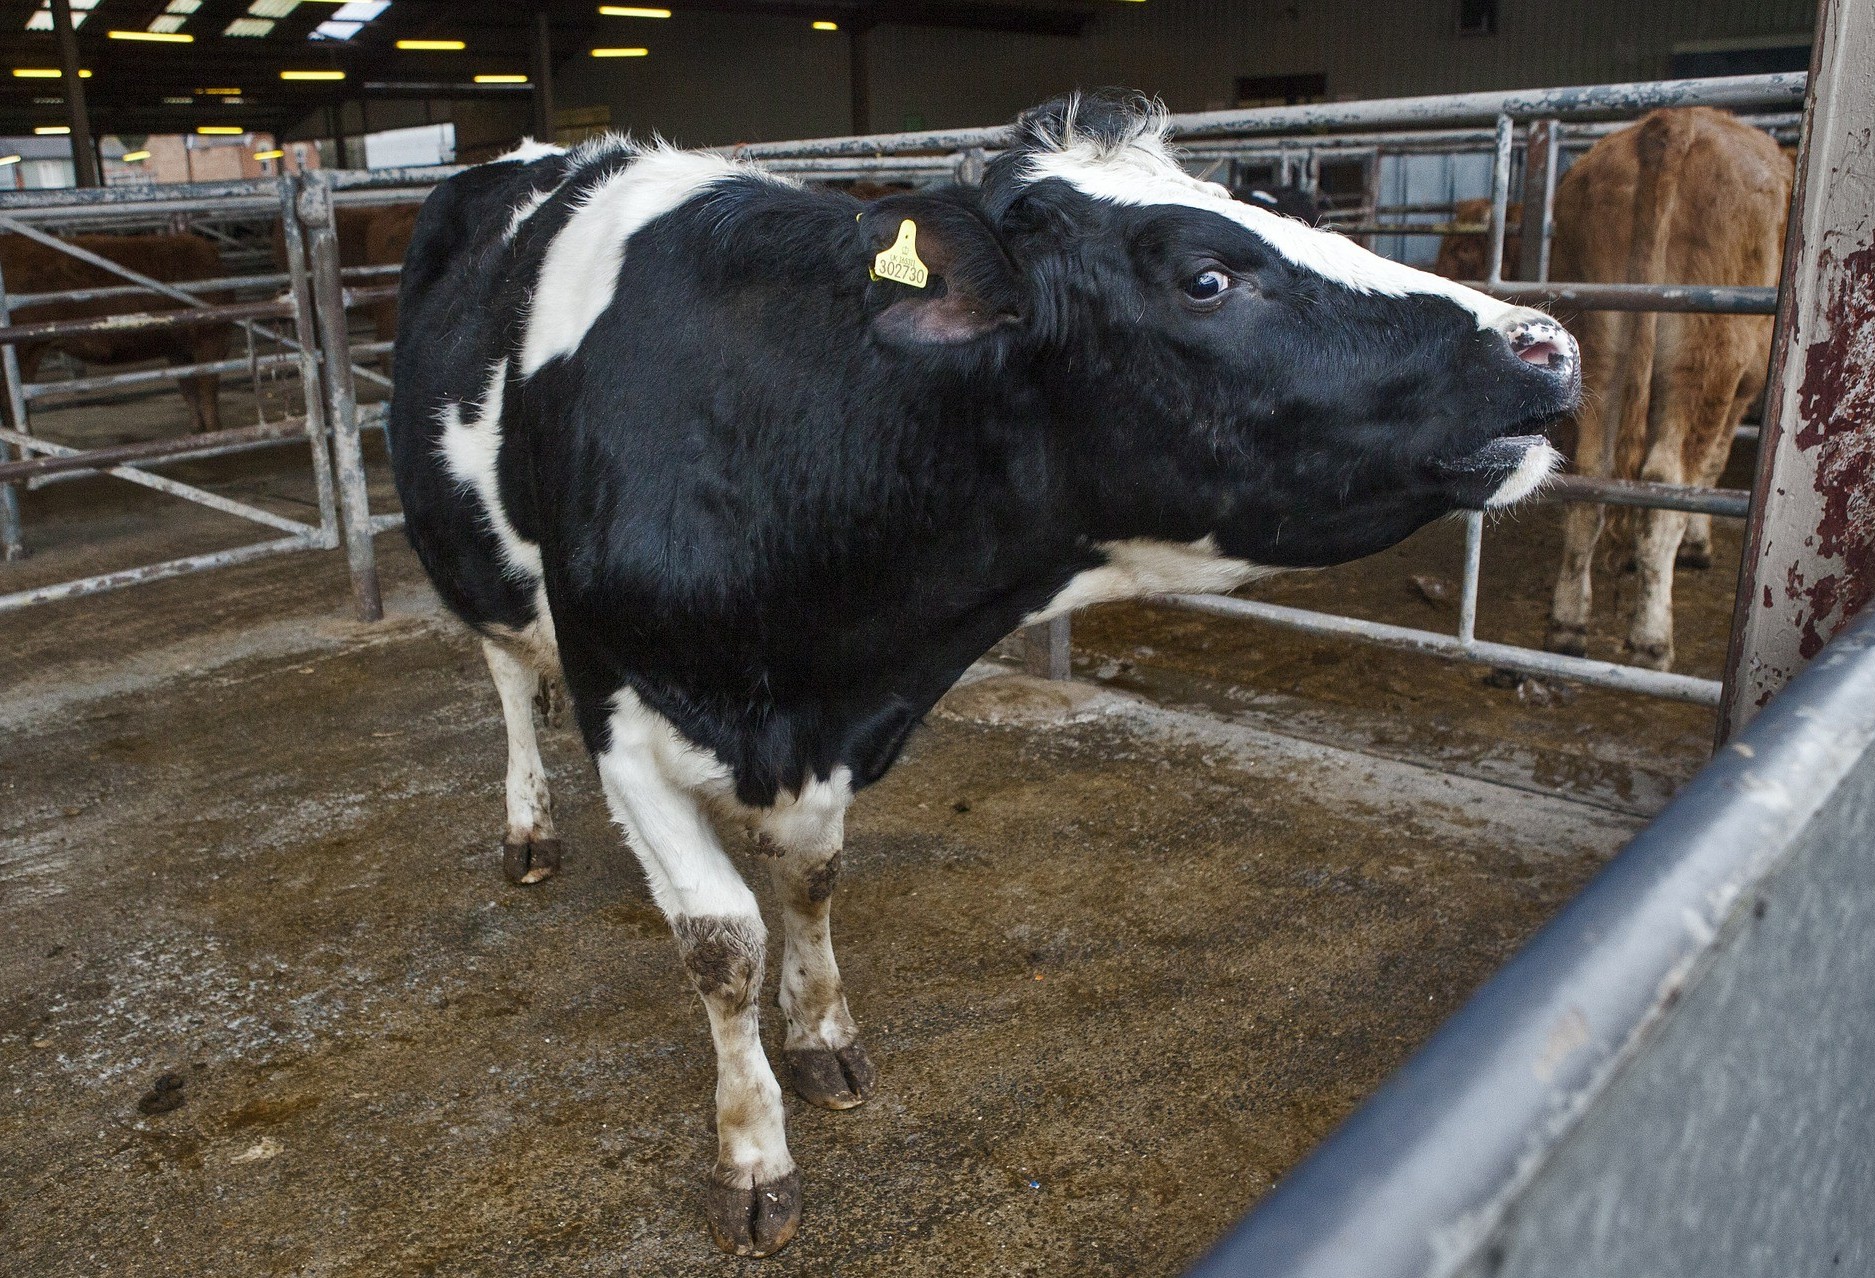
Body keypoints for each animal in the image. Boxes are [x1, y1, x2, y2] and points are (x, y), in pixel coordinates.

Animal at [0, 226, 230, 430]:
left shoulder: (178, 348)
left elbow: (190, 390)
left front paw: (197, 430)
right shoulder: (211, 338)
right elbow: (208, 391)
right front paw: (215, 431)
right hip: (23, 351)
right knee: (11, 410)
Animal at [388, 92, 1575, 1251]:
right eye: (1205, 278)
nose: (1547, 342)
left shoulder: (835, 731)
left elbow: (810, 880)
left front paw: (819, 1032)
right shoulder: (624, 720)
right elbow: (721, 942)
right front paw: (753, 1157)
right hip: (473, 569)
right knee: (507, 677)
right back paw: (529, 825)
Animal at [1545, 108, 1792, 667]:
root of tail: (1673, 124)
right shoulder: (1743, 386)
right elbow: (1714, 465)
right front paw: (1699, 546)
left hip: (1597, 346)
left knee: (1591, 477)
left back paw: (1567, 624)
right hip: (1704, 356)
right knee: (1665, 484)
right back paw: (1651, 638)